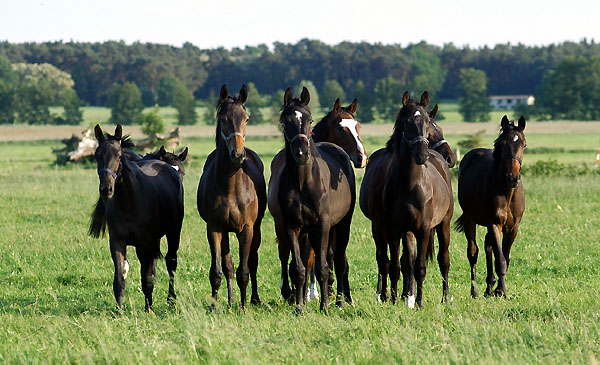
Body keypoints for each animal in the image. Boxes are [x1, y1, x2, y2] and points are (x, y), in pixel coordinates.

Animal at [88, 123, 183, 312]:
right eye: (97, 155)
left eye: (119, 155)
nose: (106, 189)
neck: (129, 203)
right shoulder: (117, 242)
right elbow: (120, 277)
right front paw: (119, 310)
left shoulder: (147, 243)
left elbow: (147, 278)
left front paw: (149, 309)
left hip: (173, 232)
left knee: (171, 262)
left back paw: (171, 300)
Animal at [198, 84, 266, 306]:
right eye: (223, 119)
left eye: (246, 118)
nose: (237, 154)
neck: (229, 187)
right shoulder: (214, 228)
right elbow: (218, 271)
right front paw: (215, 306)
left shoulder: (247, 229)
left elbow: (244, 270)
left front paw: (244, 307)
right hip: (226, 232)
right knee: (228, 264)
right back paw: (229, 301)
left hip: (256, 228)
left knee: (252, 261)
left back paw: (253, 299)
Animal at [268, 86, 356, 310]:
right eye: (285, 121)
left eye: (309, 119)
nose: (301, 153)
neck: (302, 183)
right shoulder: (291, 226)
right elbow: (298, 267)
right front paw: (299, 305)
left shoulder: (322, 224)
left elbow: (322, 265)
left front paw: (324, 304)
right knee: (287, 256)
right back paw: (291, 294)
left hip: (342, 223)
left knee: (337, 259)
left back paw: (339, 300)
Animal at [358, 90, 452, 308]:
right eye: (406, 122)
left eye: (426, 122)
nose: (422, 155)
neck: (410, 184)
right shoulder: (394, 229)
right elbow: (395, 265)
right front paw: (393, 298)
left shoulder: (424, 229)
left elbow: (419, 267)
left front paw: (419, 302)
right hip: (386, 228)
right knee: (389, 260)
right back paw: (392, 295)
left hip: (444, 223)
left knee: (443, 259)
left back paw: (444, 297)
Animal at [458, 115, 528, 298]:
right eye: (502, 144)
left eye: (524, 144)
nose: (513, 178)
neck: (506, 192)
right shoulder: (495, 223)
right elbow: (500, 259)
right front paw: (502, 291)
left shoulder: (512, 227)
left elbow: (506, 257)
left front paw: (497, 290)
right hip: (470, 219)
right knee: (473, 251)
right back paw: (475, 290)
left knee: (488, 245)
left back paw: (489, 286)